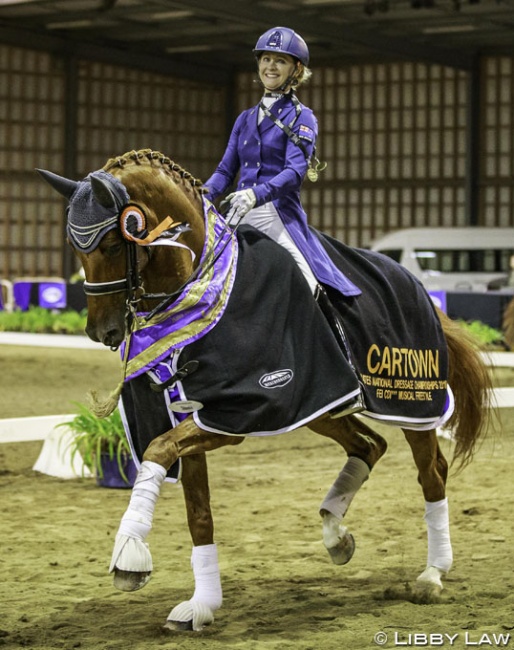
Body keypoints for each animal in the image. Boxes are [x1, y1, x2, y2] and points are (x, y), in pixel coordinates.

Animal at [38, 149, 490, 632]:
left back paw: (432, 574)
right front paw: (201, 604)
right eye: (75, 248)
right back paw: (335, 534)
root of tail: (415, 283)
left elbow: (159, 452)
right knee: (370, 445)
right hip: (321, 406)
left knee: (431, 473)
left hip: (411, 403)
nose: (101, 331)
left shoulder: (234, 414)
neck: (199, 287)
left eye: (110, 245)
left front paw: (129, 555)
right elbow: (197, 511)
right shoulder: (187, 414)